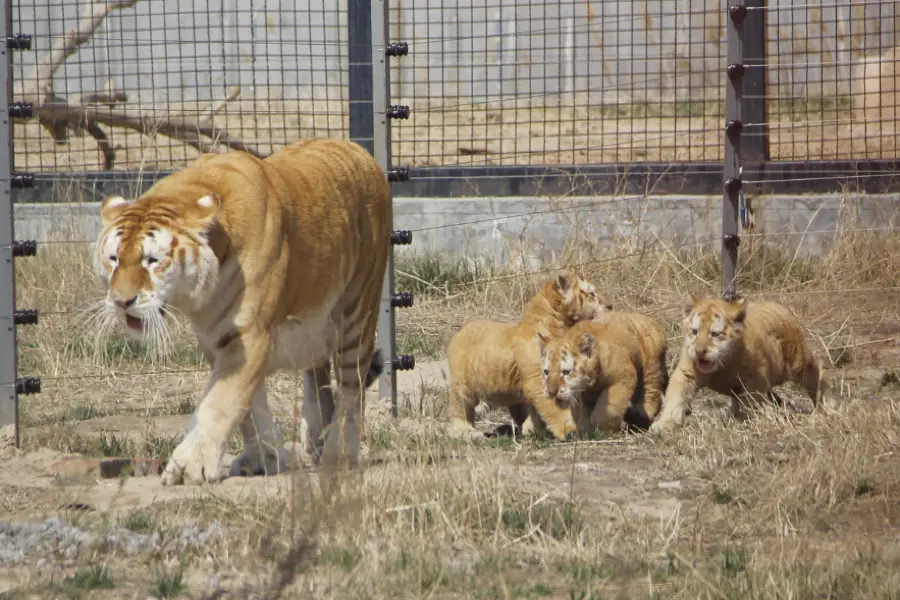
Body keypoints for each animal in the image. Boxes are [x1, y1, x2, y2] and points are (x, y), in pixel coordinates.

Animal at [93, 138, 392, 486]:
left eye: (152, 261)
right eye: (114, 258)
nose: (121, 301)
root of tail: (358, 149)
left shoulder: (248, 337)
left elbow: (219, 404)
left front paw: (188, 467)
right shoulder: (217, 337)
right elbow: (249, 407)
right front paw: (263, 459)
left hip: (358, 311)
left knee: (350, 389)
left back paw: (338, 454)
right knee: (317, 373)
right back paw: (316, 438)